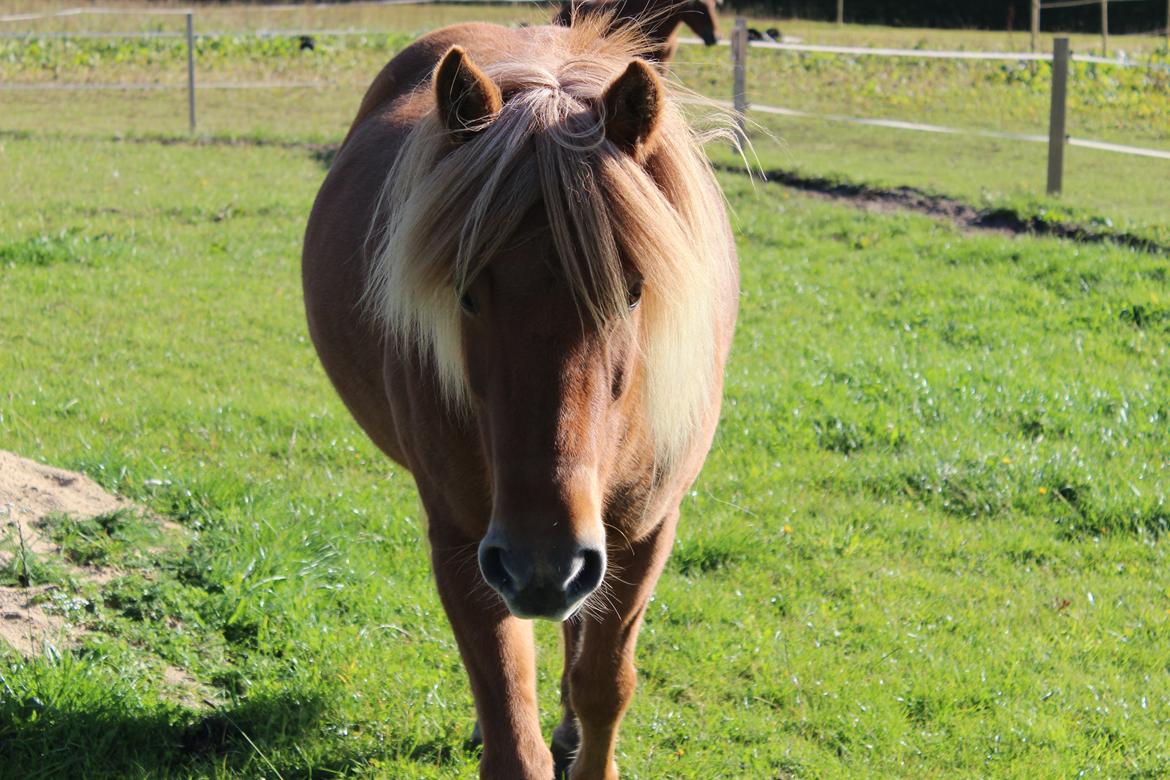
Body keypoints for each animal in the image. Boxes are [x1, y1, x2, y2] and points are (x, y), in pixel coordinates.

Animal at [304, 13, 739, 780]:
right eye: (464, 291)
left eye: (632, 291)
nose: (544, 563)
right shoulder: (461, 539)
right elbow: (511, 722)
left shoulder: (647, 531)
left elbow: (604, 683)